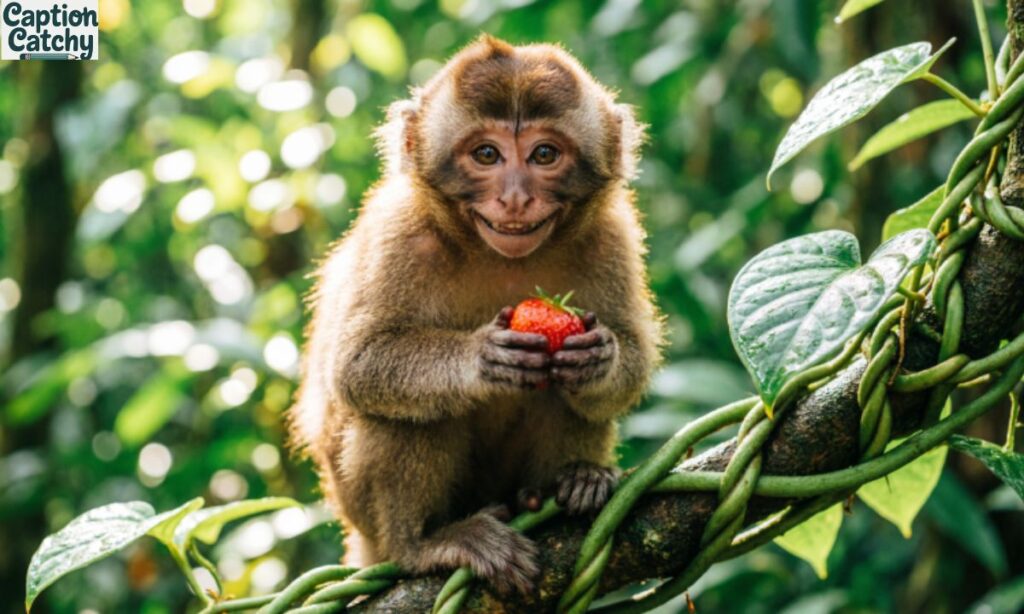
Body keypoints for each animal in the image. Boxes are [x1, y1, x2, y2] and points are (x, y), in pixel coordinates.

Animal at [289, 35, 663, 595]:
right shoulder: (399, 233)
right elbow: (357, 366)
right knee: (407, 413)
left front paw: (599, 358)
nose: (515, 197)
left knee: (561, 393)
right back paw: (425, 543)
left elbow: (630, 362)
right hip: (363, 510)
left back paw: (570, 484)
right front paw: (481, 360)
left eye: (544, 154)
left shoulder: (611, 238)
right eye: (487, 154)